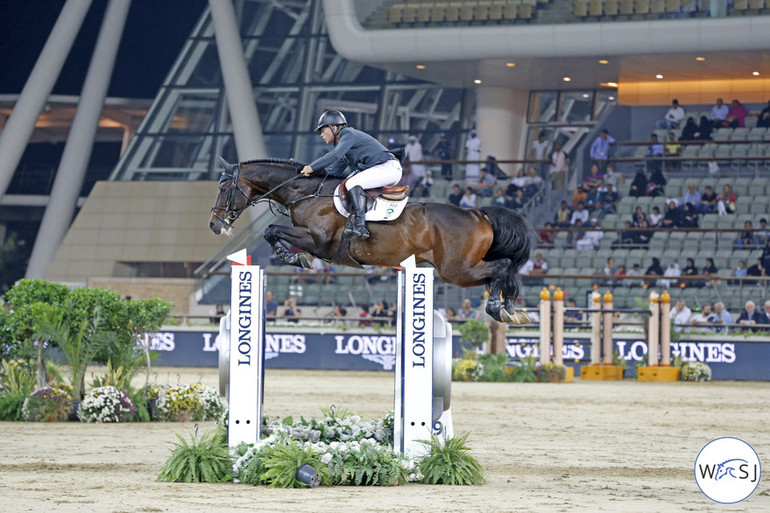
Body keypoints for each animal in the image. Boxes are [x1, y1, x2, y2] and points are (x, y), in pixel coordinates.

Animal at [207, 157, 532, 324]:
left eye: (223, 187)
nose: (213, 224)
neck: (306, 191)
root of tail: (479, 213)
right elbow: (271, 232)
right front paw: (294, 258)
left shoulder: (317, 240)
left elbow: (271, 230)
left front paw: (294, 258)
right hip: (463, 268)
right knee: (500, 271)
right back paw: (508, 307)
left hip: (456, 270)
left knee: (502, 267)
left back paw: (499, 308)